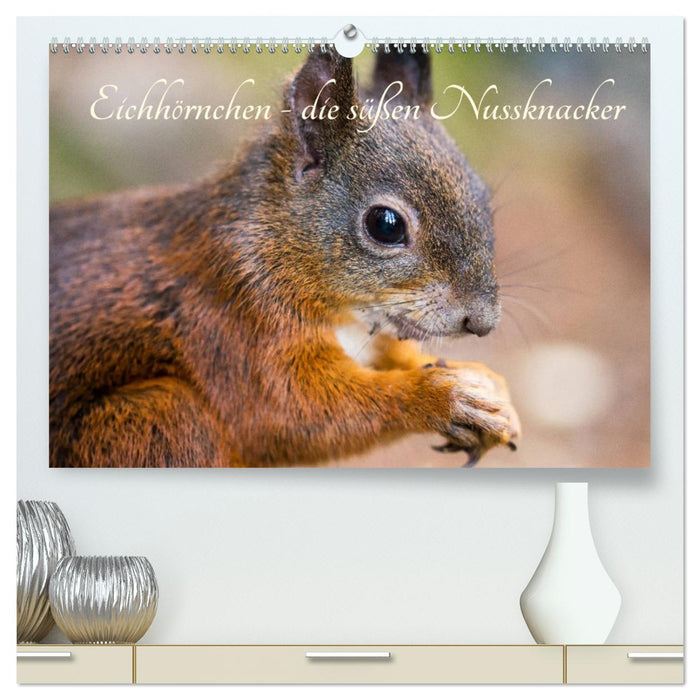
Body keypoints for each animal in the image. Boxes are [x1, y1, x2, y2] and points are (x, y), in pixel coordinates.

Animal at [49, 47, 521, 468]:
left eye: (482, 194)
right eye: (386, 225)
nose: (481, 322)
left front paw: (488, 387)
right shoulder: (234, 321)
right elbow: (291, 415)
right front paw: (441, 396)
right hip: (162, 420)